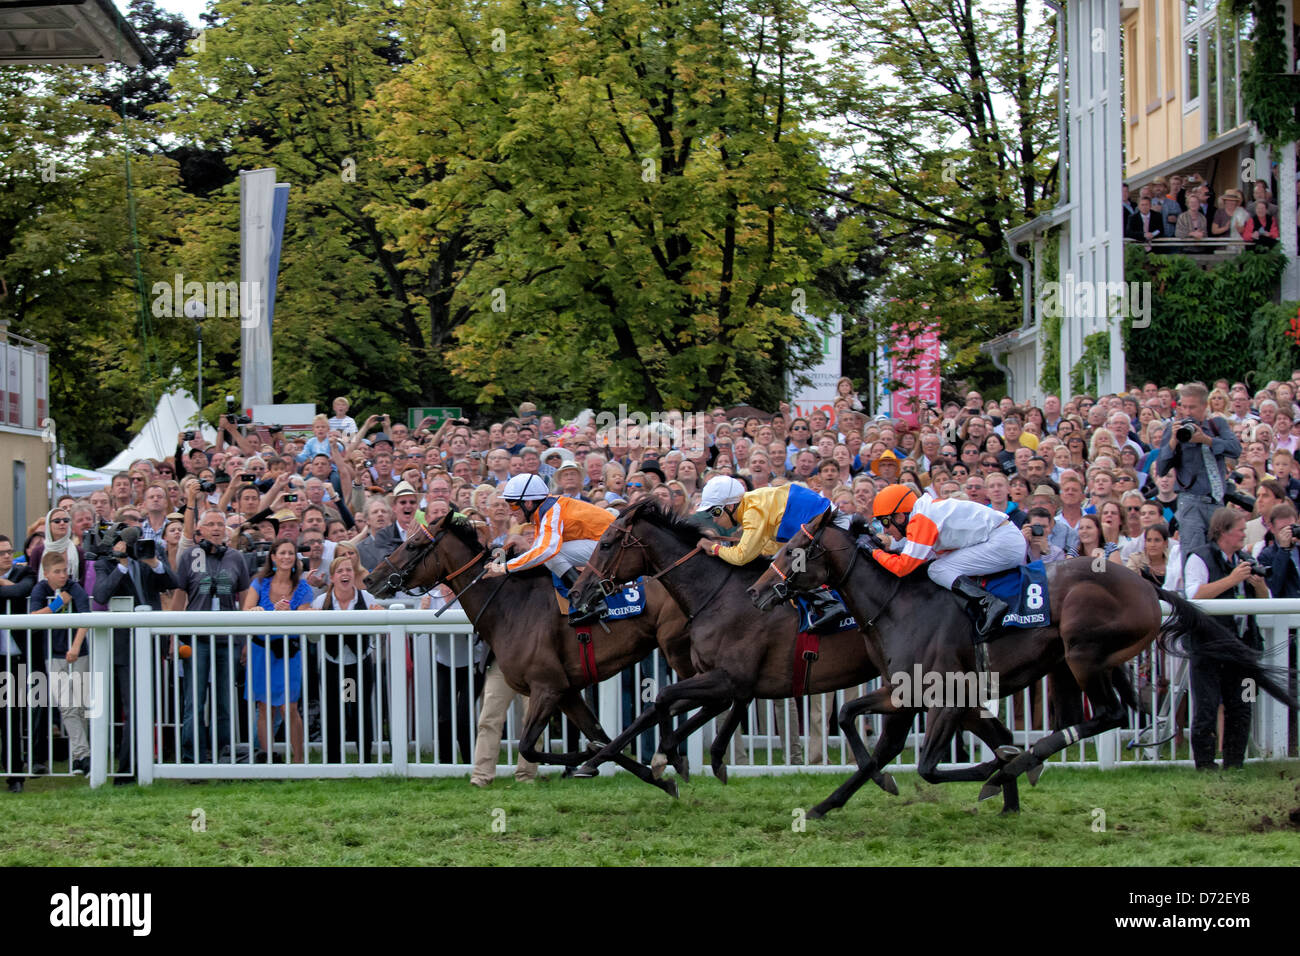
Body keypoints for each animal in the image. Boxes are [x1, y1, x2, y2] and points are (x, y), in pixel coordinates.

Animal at [361, 512, 696, 796]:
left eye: (412, 544)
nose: (369, 579)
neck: (511, 605)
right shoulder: (566, 691)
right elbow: (598, 734)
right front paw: (657, 779)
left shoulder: (547, 686)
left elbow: (528, 746)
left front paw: (587, 757)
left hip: (680, 651)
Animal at [569, 502, 1024, 806]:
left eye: (605, 543)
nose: (576, 593)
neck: (718, 594)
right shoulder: (723, 681)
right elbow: (662, 710)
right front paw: (615, 760)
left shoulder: (731, 679)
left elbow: (666, 701)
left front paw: (660, 761)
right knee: (996, 737)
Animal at [743, 512, 1300, 816]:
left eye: (795, 548)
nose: (755, 591)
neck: (896, 603)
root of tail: (1148, 583)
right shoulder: (904, 693)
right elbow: (857, 727)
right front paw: (828, 804)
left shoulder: (947, 696)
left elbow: (929, 766)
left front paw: (998, 772)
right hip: (1095, 661)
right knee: (1116, 710)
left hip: (1081, 653)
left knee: (1109, 715)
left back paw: (1020, 763)